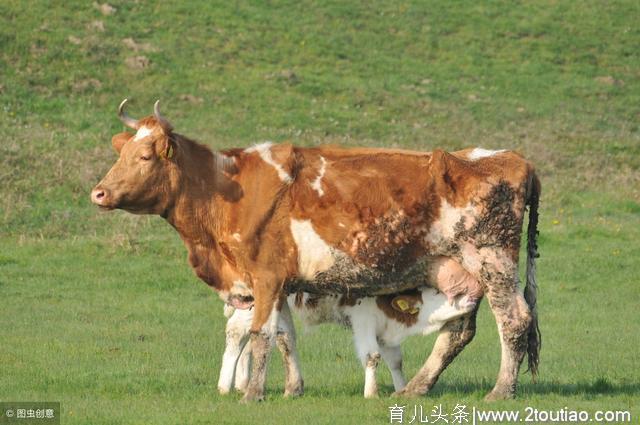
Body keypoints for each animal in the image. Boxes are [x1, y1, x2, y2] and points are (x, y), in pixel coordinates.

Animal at [91, 99, 540, 400]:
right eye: (122, 152)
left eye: (145, 155)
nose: (99, 193)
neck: (225, 189)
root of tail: (509, 158)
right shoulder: (279, 282)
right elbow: (285, 336)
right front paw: (293, 389)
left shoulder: (266, 277)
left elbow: (261, 333)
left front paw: (252, 394)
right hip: (457, 271)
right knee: (458, 331)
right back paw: (414, 388)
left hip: (493, 260)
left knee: (514, 321)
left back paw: (501, 391)